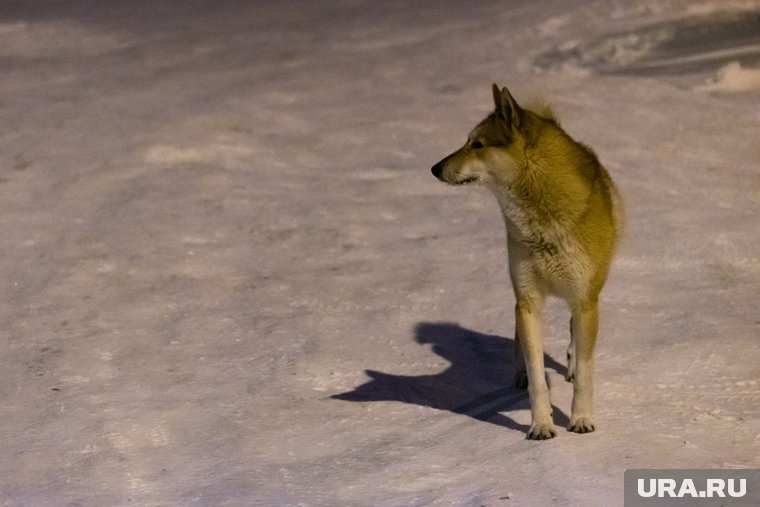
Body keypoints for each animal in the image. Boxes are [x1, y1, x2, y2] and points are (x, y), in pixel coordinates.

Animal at [430, 84, 620, 440]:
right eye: (467, 141)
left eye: (477, 144)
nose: (435, 168)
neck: (542, 224)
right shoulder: (528, 298)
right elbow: (536, 375)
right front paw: (541, 425)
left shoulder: (585, 299)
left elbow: (585, 373)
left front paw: (581, 419)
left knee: (574, 334)